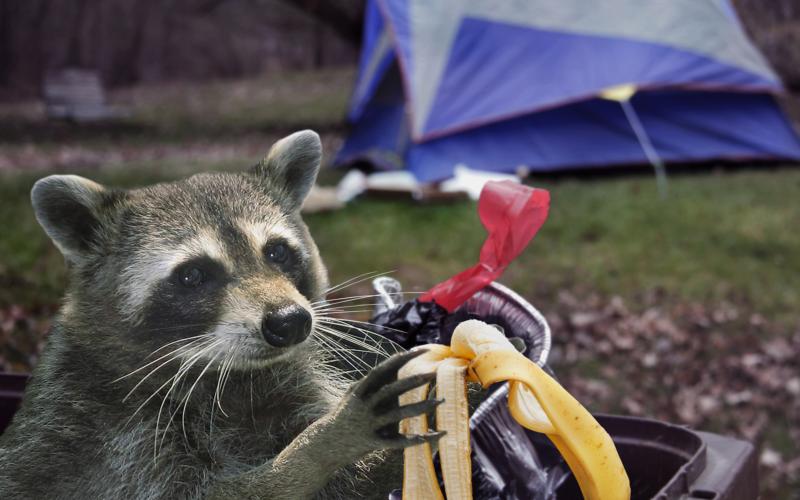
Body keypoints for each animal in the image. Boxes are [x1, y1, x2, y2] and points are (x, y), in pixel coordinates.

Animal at [0, 131, 442, 499]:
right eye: (193, 275)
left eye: (276, 252)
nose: (289, 322)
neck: (222, 375)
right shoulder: (112, 439)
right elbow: (213, 493)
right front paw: (318, 447)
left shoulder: (291, 384)